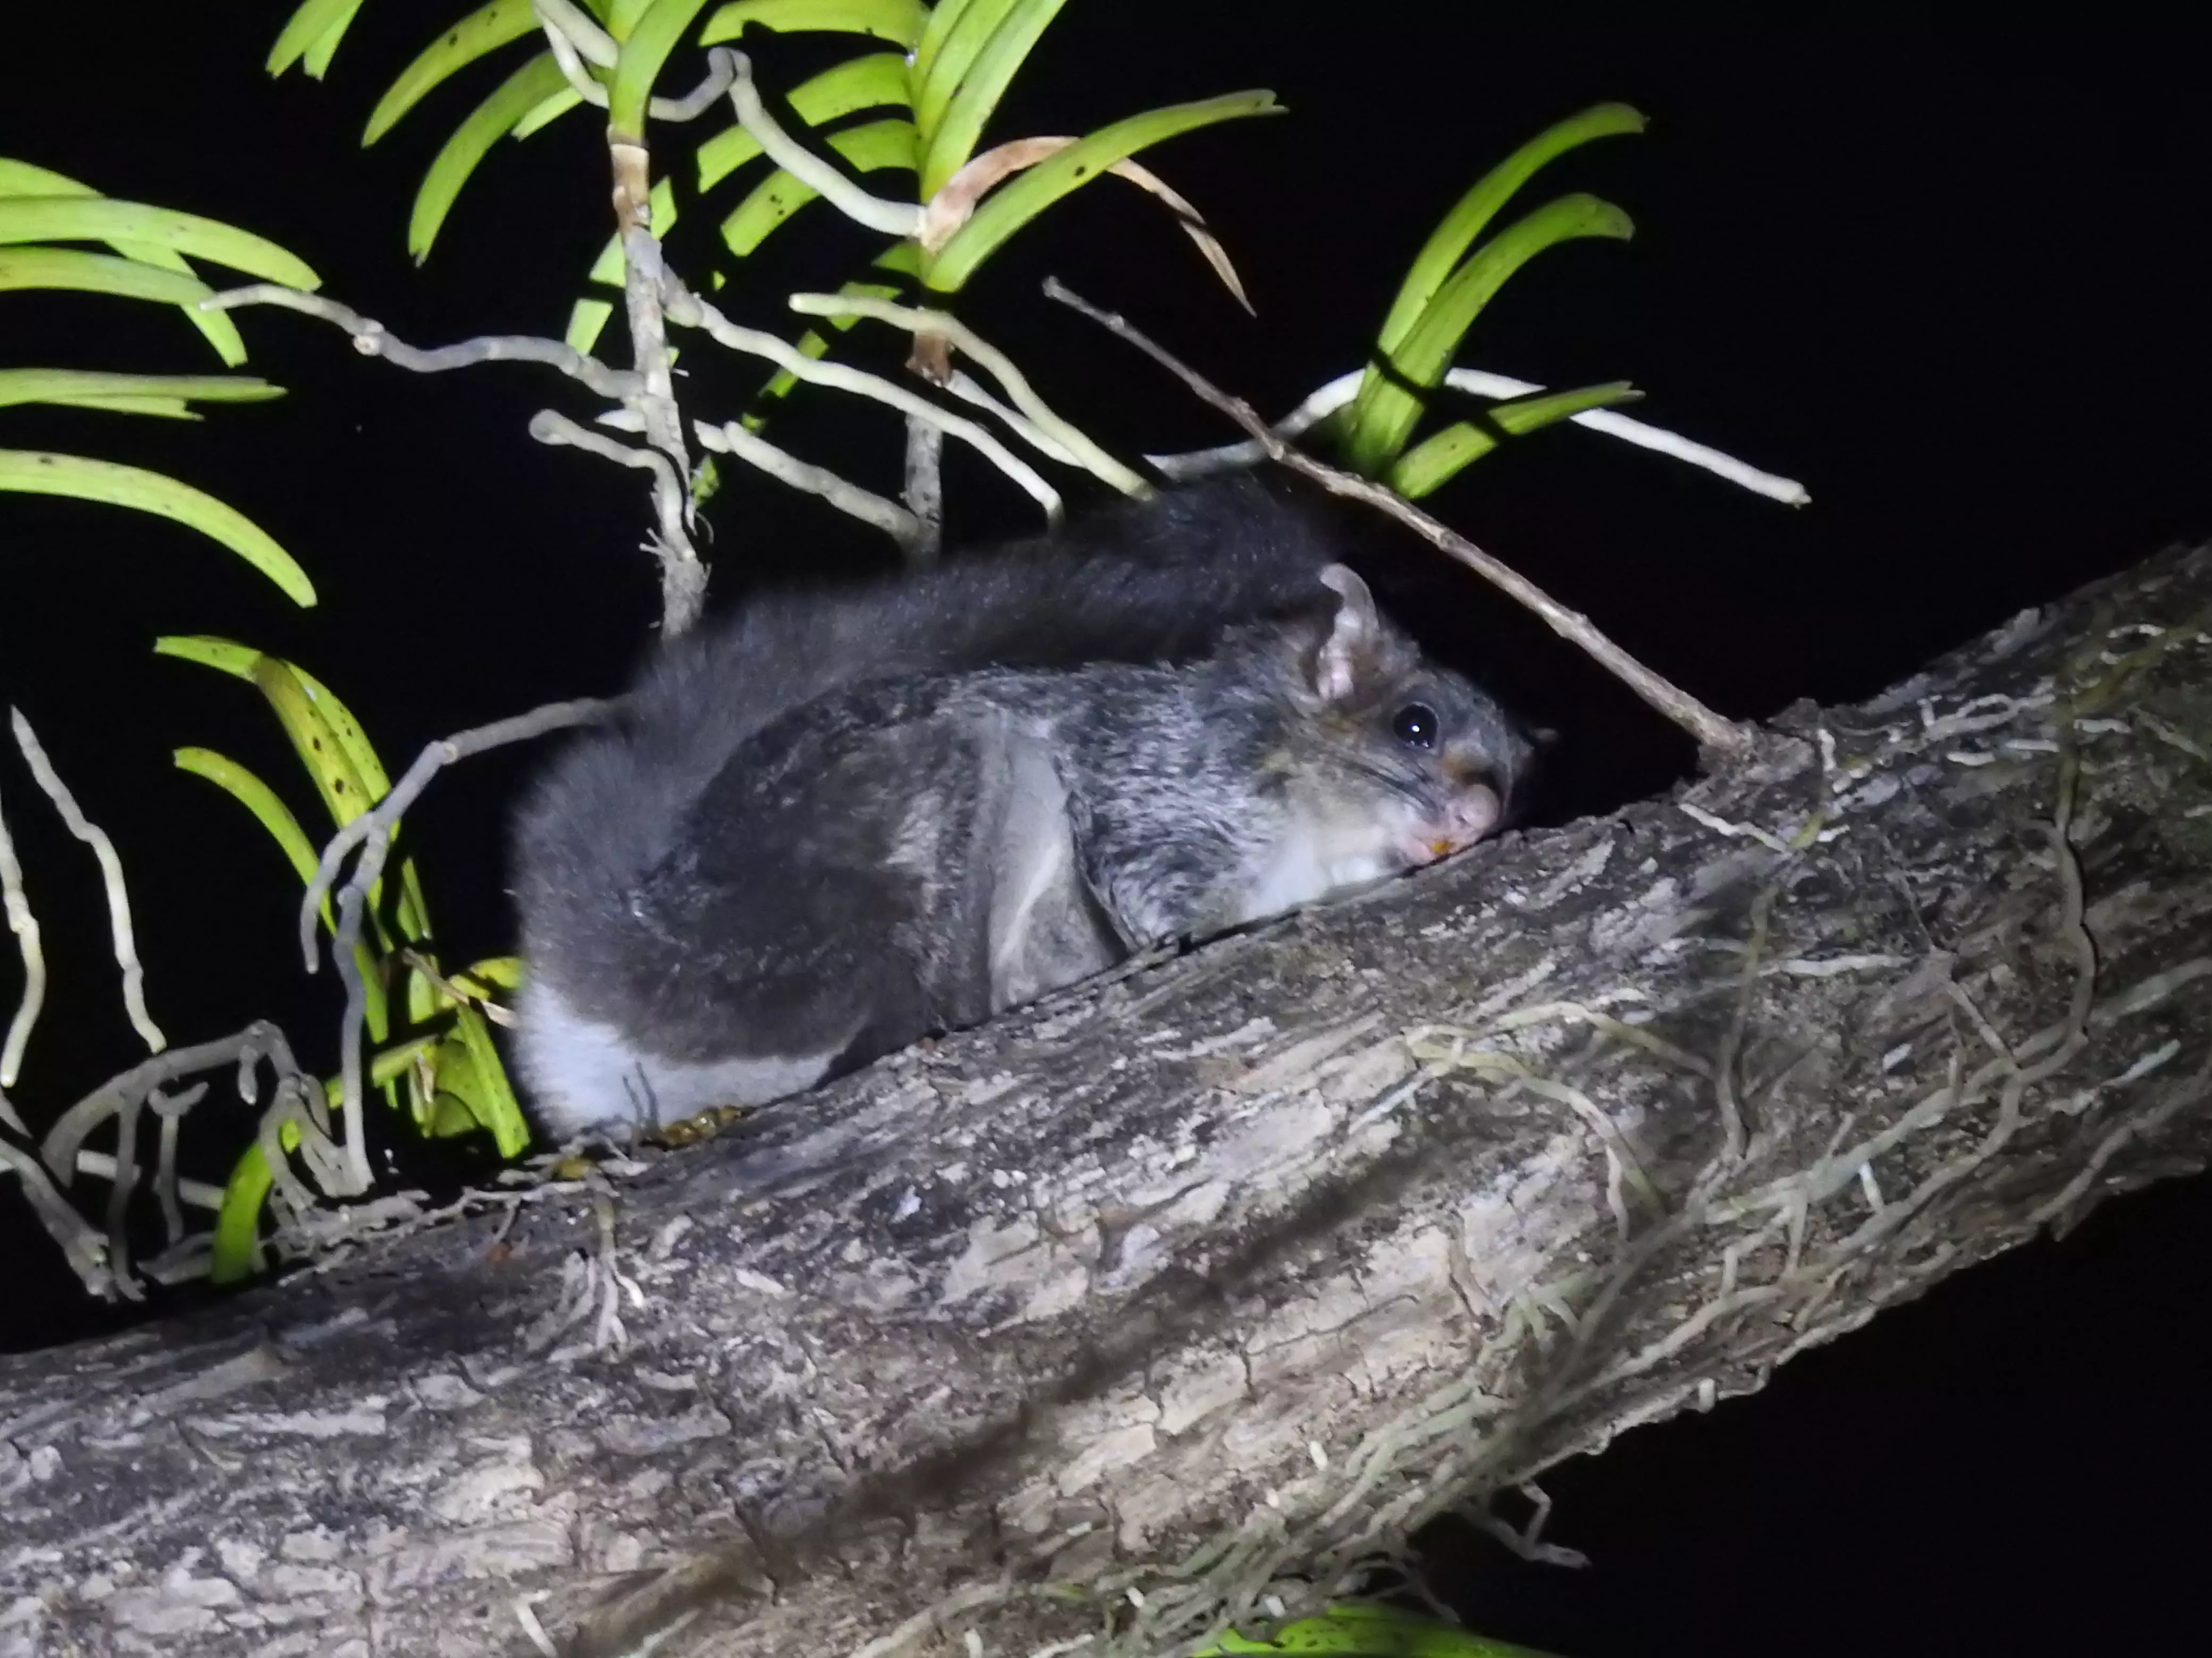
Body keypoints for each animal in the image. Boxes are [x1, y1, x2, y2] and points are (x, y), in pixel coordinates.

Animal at [509, 474, 1536, 1138]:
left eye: (1513, 776)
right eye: (1414, 724)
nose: (1481, 819)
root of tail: (625, 947)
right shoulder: (1161, 794)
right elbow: (1149, 887)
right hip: (859, 876)